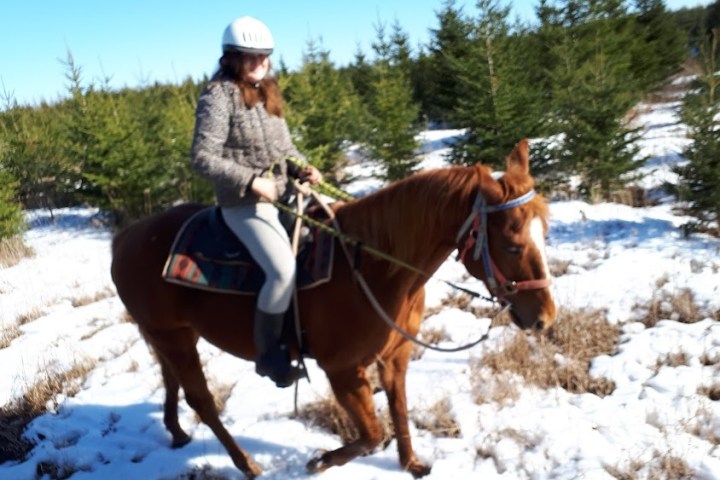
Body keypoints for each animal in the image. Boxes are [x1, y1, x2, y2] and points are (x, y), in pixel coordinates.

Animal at [110, 139, 556, 478]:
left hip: (170, 334)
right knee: (200, 400)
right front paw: (321, 461)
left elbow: (399, 411)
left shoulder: (396, 357)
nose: (545, 318)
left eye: (545, 231)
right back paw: (248, 465)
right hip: (174, 337)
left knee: (170, 380)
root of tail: (125, 237)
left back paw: (177, 434)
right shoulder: (342, 371)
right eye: (511, 244)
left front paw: (412, 464)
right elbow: (372, 433)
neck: (374, 267)